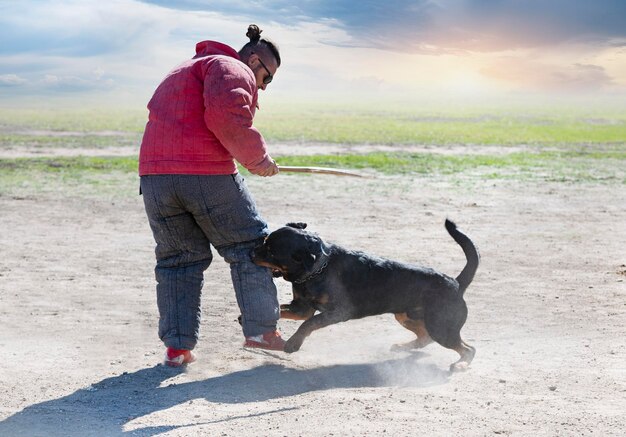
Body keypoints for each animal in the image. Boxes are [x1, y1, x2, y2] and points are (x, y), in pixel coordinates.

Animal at [252, 220, 478, 370]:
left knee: (468, 348)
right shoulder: (301, 308)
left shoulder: (337, 312)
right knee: (425, 337)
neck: (319, 269)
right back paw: (402, 347)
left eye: (272, 251)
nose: (251, 252)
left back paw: (460, 364)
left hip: (441, 327)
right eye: (264, 240)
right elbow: (279, 310)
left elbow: (308, 324)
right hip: (406, 315)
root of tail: (456, 283)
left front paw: (293, 344)